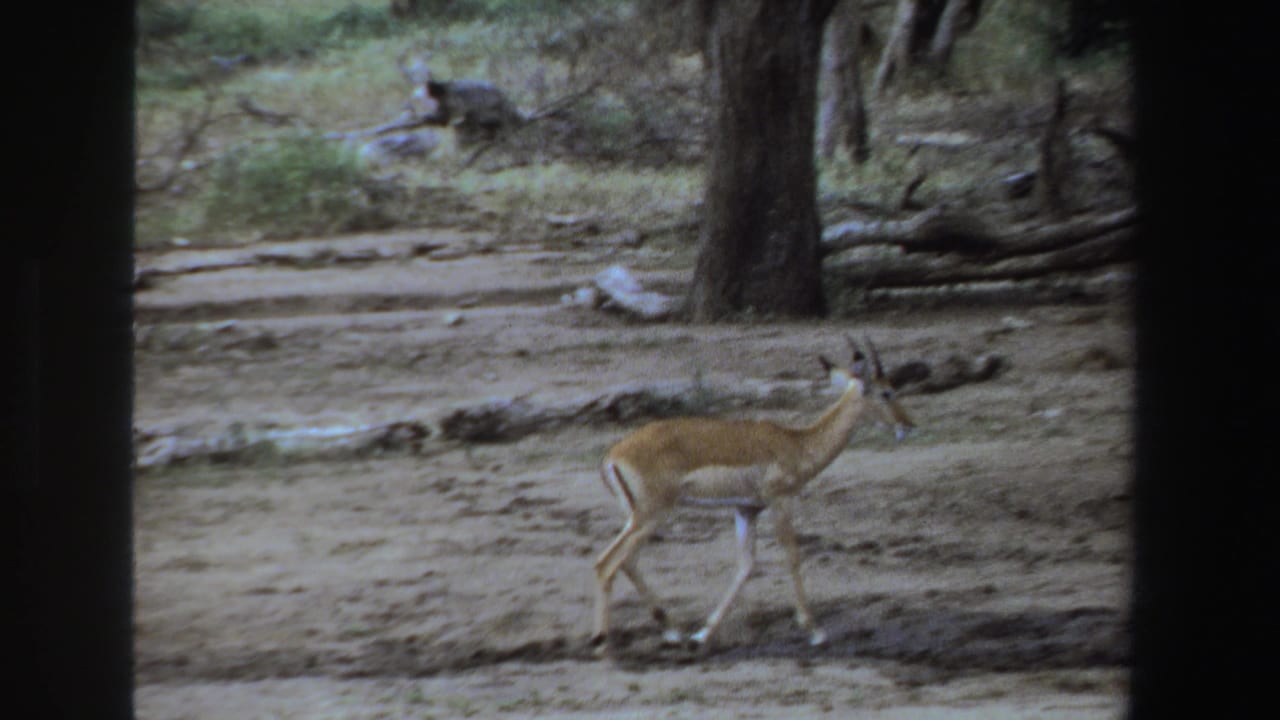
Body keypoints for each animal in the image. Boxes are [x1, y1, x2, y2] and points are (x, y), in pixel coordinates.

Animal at [591, 337, 915, 651]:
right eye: (887, 392)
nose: (909, 425)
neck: (796, 444)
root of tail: (613, 456)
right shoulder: (780, 501)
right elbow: (792, 555)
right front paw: (816, 632)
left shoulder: (746, 509)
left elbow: (746, 566)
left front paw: (702, 635)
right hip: (652, 516)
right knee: (608, 564)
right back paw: (603, 642)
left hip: (637, 518)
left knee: (624, 562)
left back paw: (672, 632)